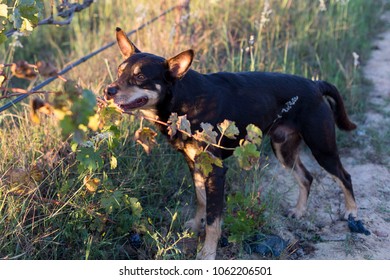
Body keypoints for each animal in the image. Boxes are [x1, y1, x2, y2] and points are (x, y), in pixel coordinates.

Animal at [105, 27, 358, 260]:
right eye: (119, 72)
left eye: (140, 77)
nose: (108, 90)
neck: (184, 101)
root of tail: (315, 85)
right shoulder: (195, 164)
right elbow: (201, 201)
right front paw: (196, 225)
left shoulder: (216, 171)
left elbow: (214, 220)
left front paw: (207, 253)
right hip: (283, 149)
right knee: (306, 177)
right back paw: (299, 211)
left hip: (322, 148)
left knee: (344, 177)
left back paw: (352, 214)